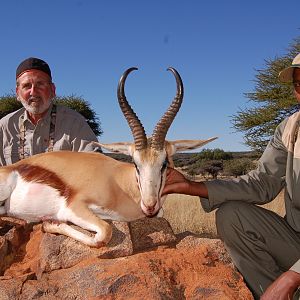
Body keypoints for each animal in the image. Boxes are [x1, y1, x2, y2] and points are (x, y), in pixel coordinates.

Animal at [0, 67, 217, 246]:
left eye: (165, 164)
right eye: (135, 164)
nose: (149, 206)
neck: (119, 184)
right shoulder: (73, 207)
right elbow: (104, 233)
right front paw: (49, 223)